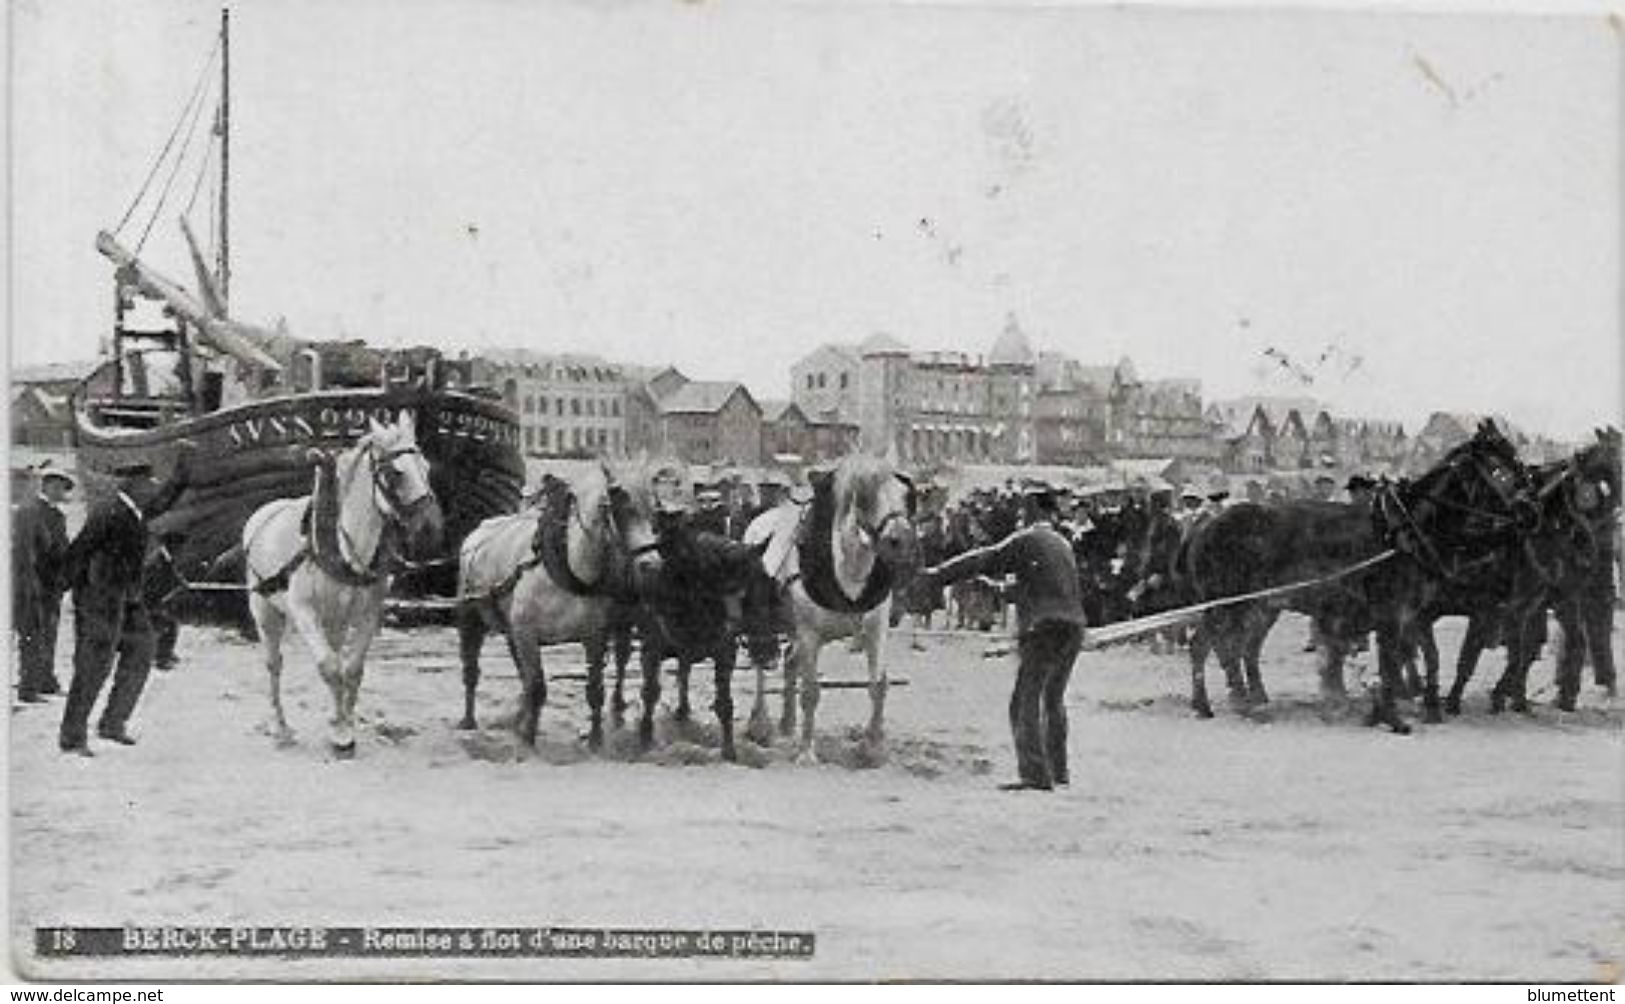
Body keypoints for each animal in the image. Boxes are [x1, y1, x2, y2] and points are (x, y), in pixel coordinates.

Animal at [240, 411, 445, 753]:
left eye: (427, 467)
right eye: (395, 473)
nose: (432, 530)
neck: (343, 547)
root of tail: (265, 513)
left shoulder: (368, 613)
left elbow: (351, 669)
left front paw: (343, 722)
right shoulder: (304, 611)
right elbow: (328, 666)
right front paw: (340, 733)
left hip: (334, 618)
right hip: (266, 611)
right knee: (274, 664)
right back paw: (279, 725)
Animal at [744, 454, 916, 757]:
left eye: (905, 495)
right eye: (866, 498)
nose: (901, 541)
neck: (846, 573)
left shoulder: (876, 629)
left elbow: (878, 684)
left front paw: (872, 746)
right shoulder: (810, 634)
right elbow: (811, 692)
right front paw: (806, 752)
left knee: (790, 662)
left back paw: (787, 724)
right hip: (767, 626)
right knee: (762, 665)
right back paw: (760, 724)